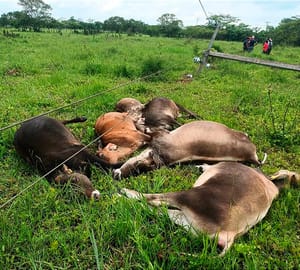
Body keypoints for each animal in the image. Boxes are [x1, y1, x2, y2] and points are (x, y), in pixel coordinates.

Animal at [119, 161, 298, 256]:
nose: (200, 166)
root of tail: (230, 235)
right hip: (186, 221)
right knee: (159, 210)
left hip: (188, 196)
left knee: (151, 200)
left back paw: (123, 194)